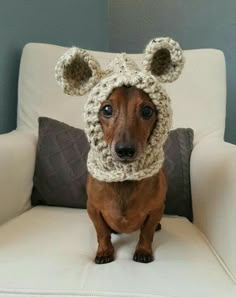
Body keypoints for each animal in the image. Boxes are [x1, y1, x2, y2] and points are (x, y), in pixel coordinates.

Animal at [85, 85, 167, 264]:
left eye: (147, 111)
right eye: (107, 109)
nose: (125, 150)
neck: (125, 180)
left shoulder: (156, 209)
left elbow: (147, 232)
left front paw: (143, 250)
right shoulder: (92, 208)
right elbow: (102, 232)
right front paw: (104, 251)